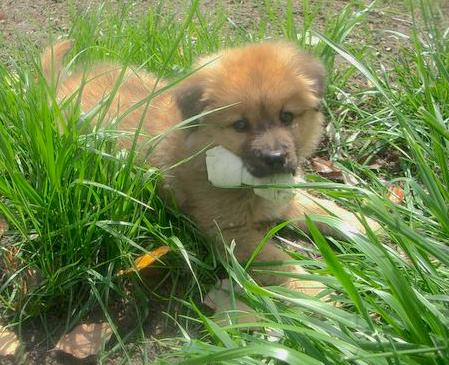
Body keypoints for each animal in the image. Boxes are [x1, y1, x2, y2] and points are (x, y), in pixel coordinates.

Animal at [40, 40, 374, 296]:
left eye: (286, 117)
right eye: (240, 125)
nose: (276, 157)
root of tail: (65, 83)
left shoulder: (286, 197)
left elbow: (324, 208)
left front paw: (368, 225)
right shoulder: (230, 233)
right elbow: (279, 260)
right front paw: (318, 292)